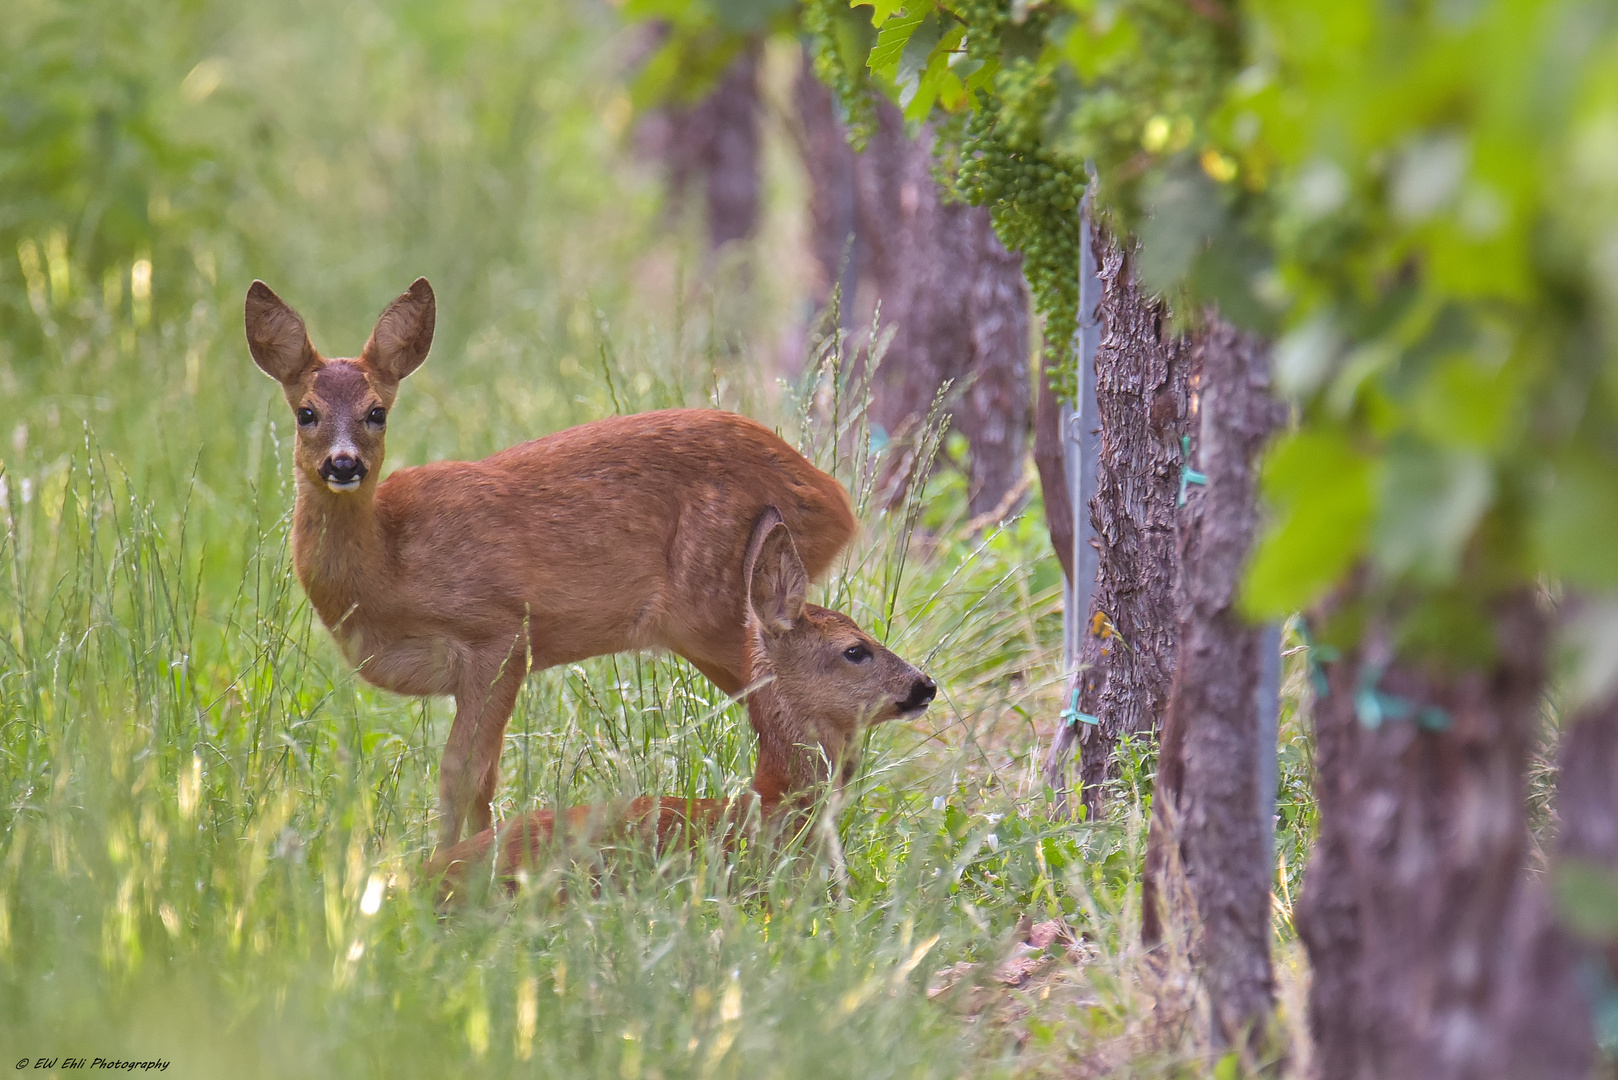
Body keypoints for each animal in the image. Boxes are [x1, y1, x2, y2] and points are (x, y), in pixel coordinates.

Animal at [241, 276, 860, 841]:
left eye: (377, 412)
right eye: (305, 413)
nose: (343, 465)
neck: (389, 564)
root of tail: (836, 501)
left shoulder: (499, 633)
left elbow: (461, 773)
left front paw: (451, 866)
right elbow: (484, 776)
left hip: (716, 610)